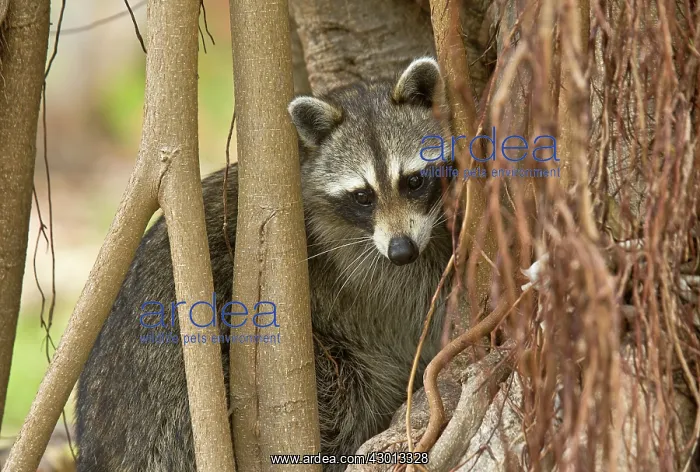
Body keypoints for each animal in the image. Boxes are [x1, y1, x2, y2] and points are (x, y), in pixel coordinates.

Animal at [75, 57, 453, 472]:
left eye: (414, 181)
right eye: (362, 196)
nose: (402, 251)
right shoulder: (361, 273)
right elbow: (412, 311)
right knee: (347, 395)